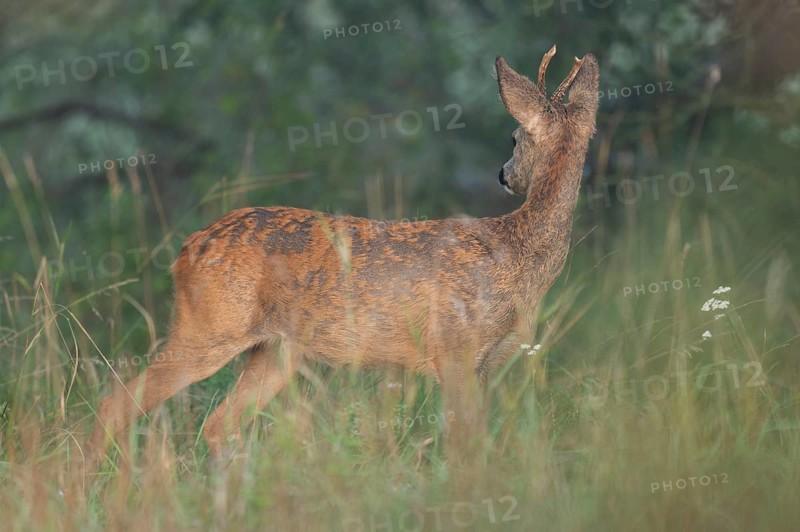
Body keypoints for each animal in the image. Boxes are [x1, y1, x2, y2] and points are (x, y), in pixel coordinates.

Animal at [83, 45, 599, 470]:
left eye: (512, 140)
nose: (503, 174)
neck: (514, 251)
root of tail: (186, 248)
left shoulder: (485, 363)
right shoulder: (454, 348)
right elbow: (463, 444)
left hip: (275, 350)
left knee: (217, 424)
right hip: (209, 326)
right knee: (116, 404)